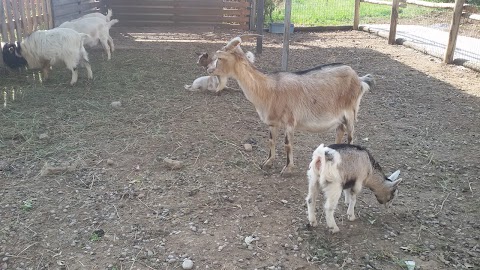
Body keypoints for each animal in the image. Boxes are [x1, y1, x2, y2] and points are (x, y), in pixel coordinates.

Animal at [207, 35, 376, 175]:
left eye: (219, 58)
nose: (209, 69)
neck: (268, 89)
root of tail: (359, 80)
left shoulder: (289, 121)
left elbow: (287, 144)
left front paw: (287, 168)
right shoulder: (273, 123)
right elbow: (271, 140)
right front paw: (267, 162)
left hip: (350, 111)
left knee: (351, 135)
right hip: (339, 116)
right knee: (340, 131)